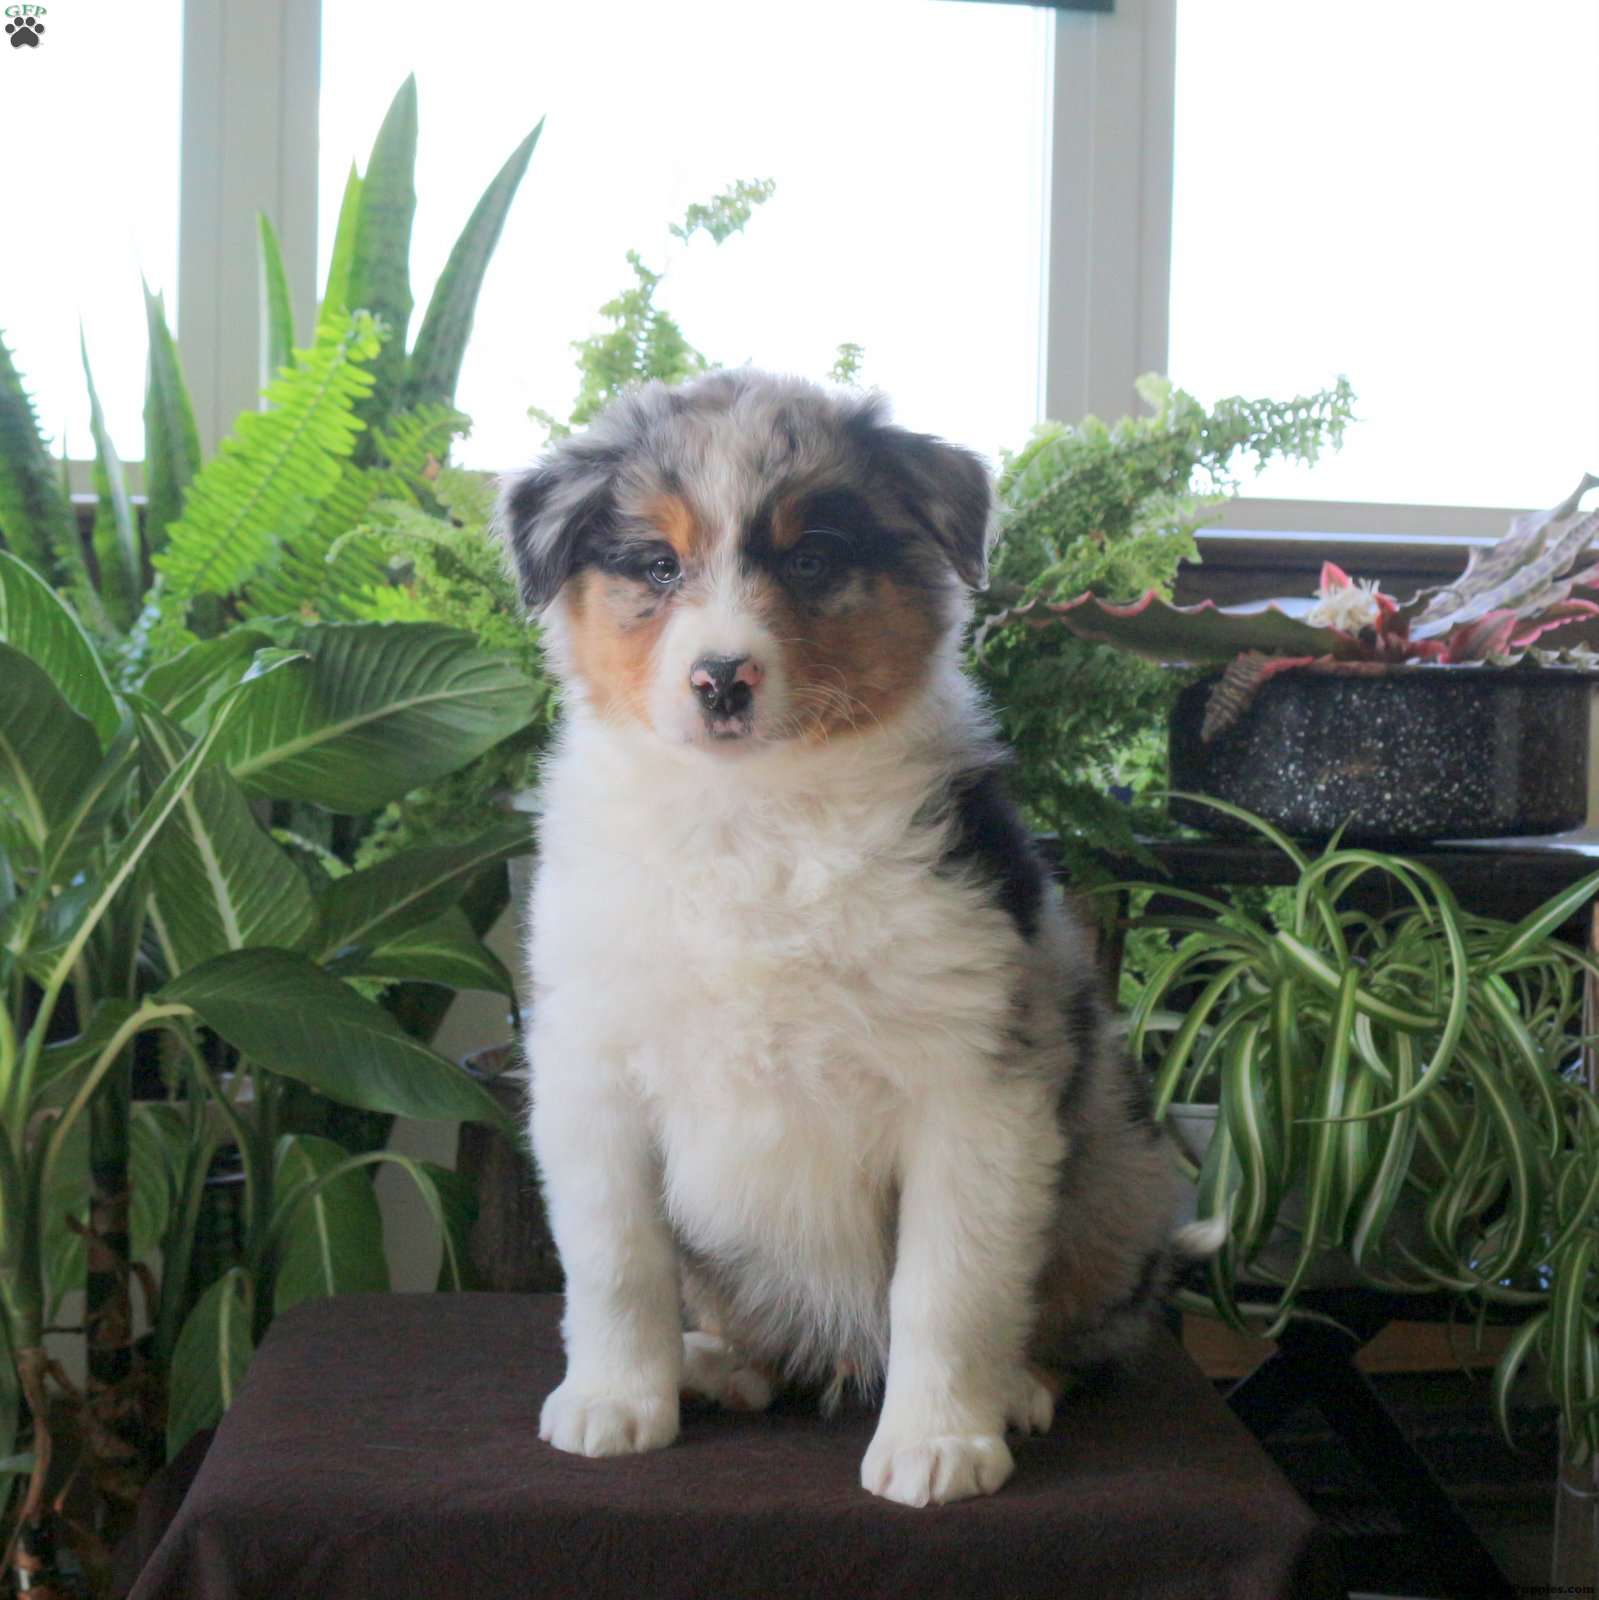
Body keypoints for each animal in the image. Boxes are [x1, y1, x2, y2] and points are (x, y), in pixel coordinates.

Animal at [497, 370, 1192, 1507]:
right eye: (658, 564)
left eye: (811, 559)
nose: (720, 679)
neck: (755, 816)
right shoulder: (591, 1069)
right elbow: (615, 1259)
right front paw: (612, 1402)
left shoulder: (974, 1085)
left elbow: (947, 1282)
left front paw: (939, 1442)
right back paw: (721, 1364)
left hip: (1118, 1172)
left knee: (1081, 1322)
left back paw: (1018, 1387)